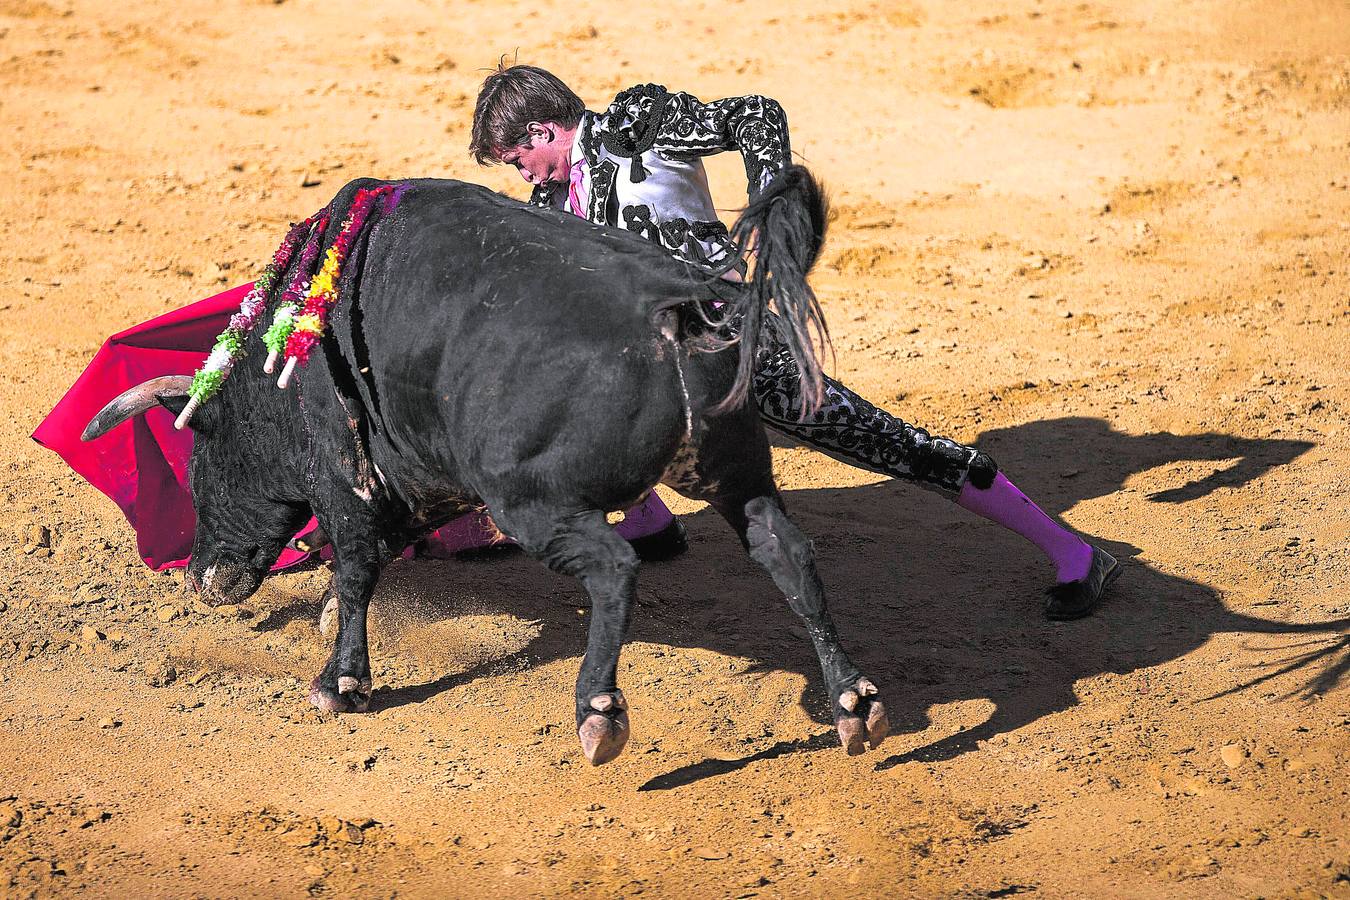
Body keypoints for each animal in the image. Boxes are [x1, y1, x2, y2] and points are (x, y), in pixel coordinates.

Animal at [78, 167, 891, 766]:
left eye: (199, 465)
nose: (199, 578)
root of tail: (677, 308)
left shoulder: (346, 475)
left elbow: (356, 563)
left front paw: (340, 683)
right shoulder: (421, 472)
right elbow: (375, 555)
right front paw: (331, 626)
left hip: (533, 501)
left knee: (614, 568)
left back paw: (598, 715)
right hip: (738, 475)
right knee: (786, 552)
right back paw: (854, 705)